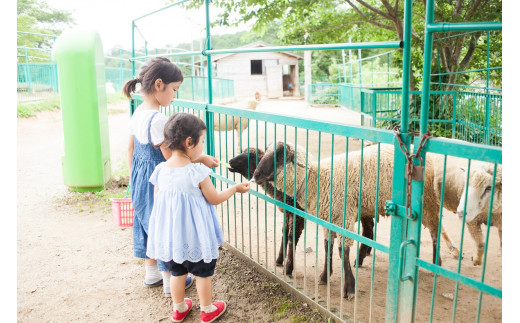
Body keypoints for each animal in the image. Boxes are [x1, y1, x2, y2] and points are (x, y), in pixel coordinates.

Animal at [228, 148, 374, 278]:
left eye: (251, 156)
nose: (229, 161)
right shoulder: (288, 212)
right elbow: (284, 232)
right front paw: (280, 259)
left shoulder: (298, 214)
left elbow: (292, 237)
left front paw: (288, 268)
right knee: (369, 228)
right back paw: (366, 252)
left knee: (367, 229)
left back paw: (359, 259)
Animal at [253, 142, 456, 302]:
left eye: (279, 156)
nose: (255, 175)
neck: (318, 180)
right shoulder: (329, 218)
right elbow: (327, 246)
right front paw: (325, 276)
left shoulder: (343, 215)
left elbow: (343, 250)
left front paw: (349, 288)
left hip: (427, 202)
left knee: (435, 230)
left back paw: (436, 263)